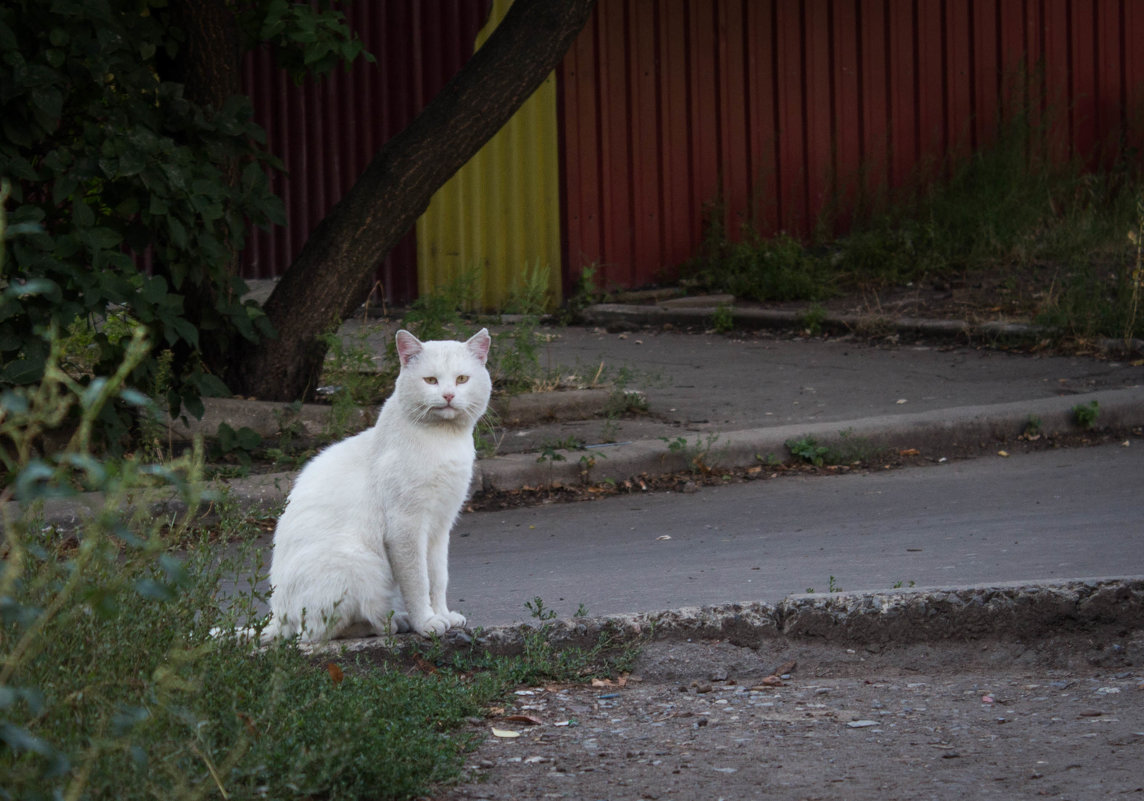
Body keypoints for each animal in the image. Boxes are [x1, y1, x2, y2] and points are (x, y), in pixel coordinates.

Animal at [259, 324, 491, 636]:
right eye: (431, 380)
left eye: (462, 379)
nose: (448, 395)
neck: (444, 440)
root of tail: (276, 619)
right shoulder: (406, 527)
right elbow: (418, 581)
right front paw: (426, 622)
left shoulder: (440, 527)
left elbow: (438, 578)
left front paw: (442, 615)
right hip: (362, 564)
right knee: (319, 633)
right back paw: (392, 623)